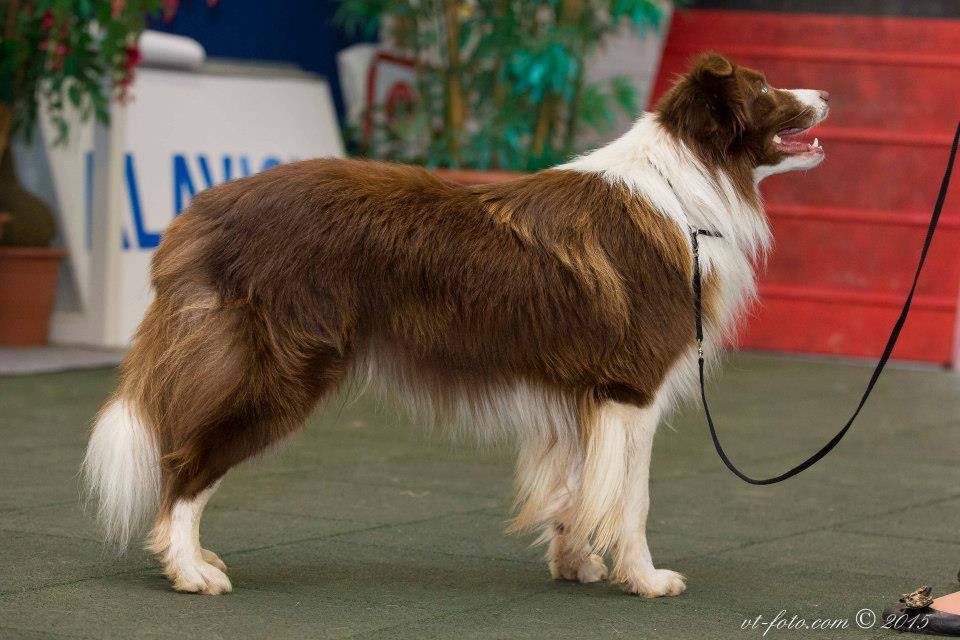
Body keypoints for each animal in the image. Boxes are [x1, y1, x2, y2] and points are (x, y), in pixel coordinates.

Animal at [82, 53, 829, 596]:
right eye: (765, 89)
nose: (825, 95)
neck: (687, 185)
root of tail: (202, 210)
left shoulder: (580, 390)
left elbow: (578, 488)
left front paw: (575, 565)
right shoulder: (630, 389)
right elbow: (631, 497)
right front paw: (646, 580)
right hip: (279, 370)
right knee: (183, 461)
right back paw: (189, 569)